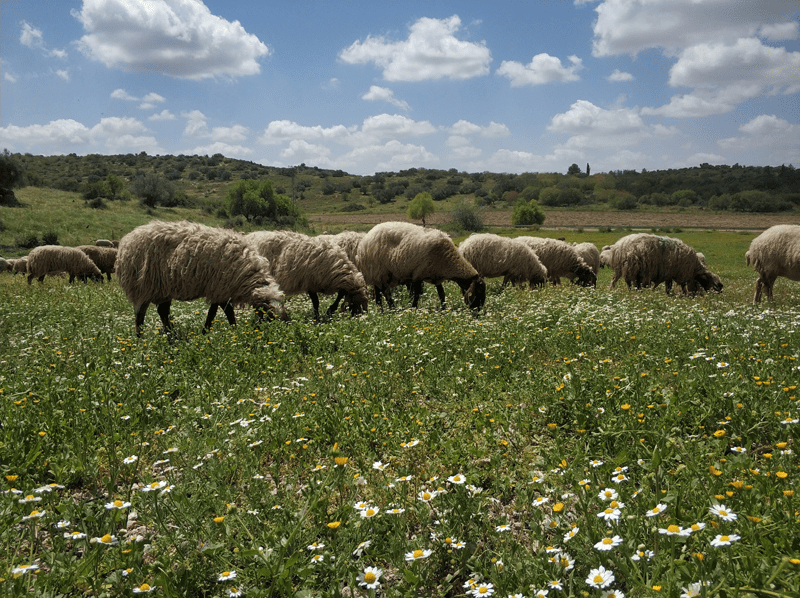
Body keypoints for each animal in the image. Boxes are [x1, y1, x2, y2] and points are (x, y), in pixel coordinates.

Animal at [117, 223, 290, 340]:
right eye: (270, 316)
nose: (282, 334)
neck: (247, 272)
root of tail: (127, 240)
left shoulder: (219, 290)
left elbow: (215, 312)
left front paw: (208, 331)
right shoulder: (220, 287)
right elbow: (224, 312)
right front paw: (228, 330)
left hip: (162, 288)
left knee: (162, 312)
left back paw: (172, 335)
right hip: (142, 286)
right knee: (140, 314)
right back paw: (141, 338)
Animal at [356, 223, 488, 312]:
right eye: (477, 293)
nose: (476, 313)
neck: (447, 261)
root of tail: (364, 241)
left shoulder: (436, 276)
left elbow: (441, 294)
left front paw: (444, 310)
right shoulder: (418, 275)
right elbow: (417, 295)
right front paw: (413, 310)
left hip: (377, 275)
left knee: (378, 294)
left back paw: (382, 311)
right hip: (380, 271)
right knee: (385, 293)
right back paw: (392, 310)